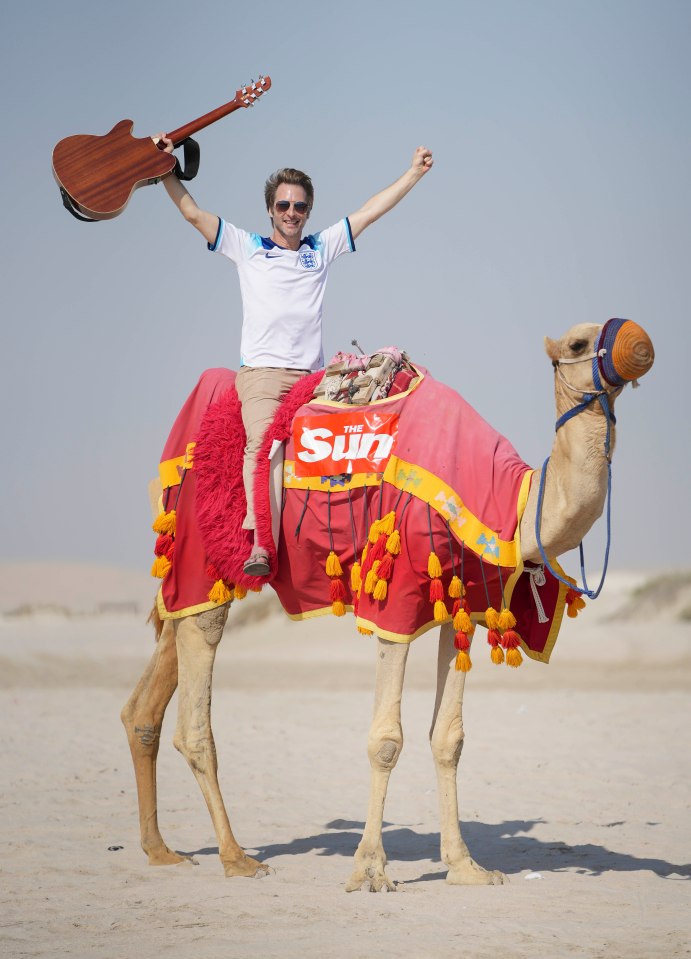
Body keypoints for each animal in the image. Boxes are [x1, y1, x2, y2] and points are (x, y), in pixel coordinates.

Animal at [121, 318, 656, 888]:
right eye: (578, 344)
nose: (640, 344)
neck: (511, 503)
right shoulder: (395, 591)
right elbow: (385, 740)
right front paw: (371, 869)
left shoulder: (463, 601)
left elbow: (449, 738)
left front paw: (465, 866)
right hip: (205, 552)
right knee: (196, 703)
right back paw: (236, 857)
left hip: (189, 582)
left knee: (151, 691)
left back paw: (160, 849)